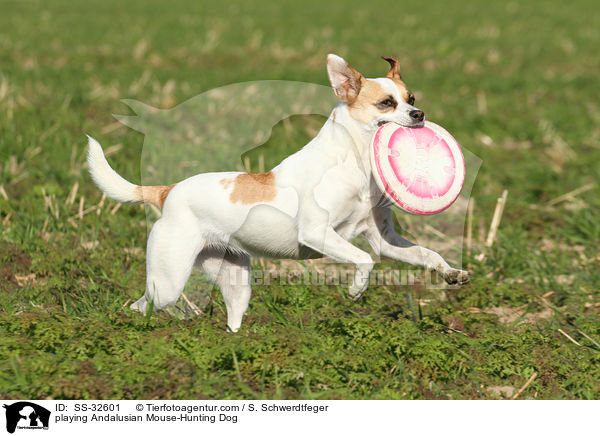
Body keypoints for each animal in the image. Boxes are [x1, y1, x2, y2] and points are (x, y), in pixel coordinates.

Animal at [86, 56, 468, 332]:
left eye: (411, 98)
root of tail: (168, 192)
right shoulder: (317, 232)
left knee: (231, 319)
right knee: (142, 305)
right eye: (387, 103)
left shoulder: (383, 239)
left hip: (235, 281)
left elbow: (426, 254)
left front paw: (452, 273)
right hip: (167, 281)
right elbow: (364, 260)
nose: (419, 114)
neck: (354, 162)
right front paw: (356, 290)